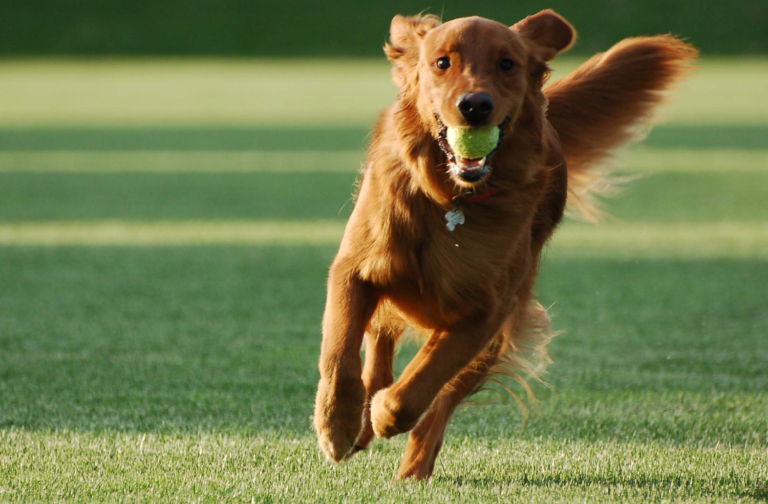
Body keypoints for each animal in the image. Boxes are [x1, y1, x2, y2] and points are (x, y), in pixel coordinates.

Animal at [312, 8, 696, 480]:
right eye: (442, 63)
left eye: (507, 64)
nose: (475, 105)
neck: (451, 198)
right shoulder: (355, 269)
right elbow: (340, 355)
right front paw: (337, 425)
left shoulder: (485, 312)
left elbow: (419, 386)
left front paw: (385, 414)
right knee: (379, 344)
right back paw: (363, 423)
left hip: (503, 324)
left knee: (441, 401)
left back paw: (413, 464)